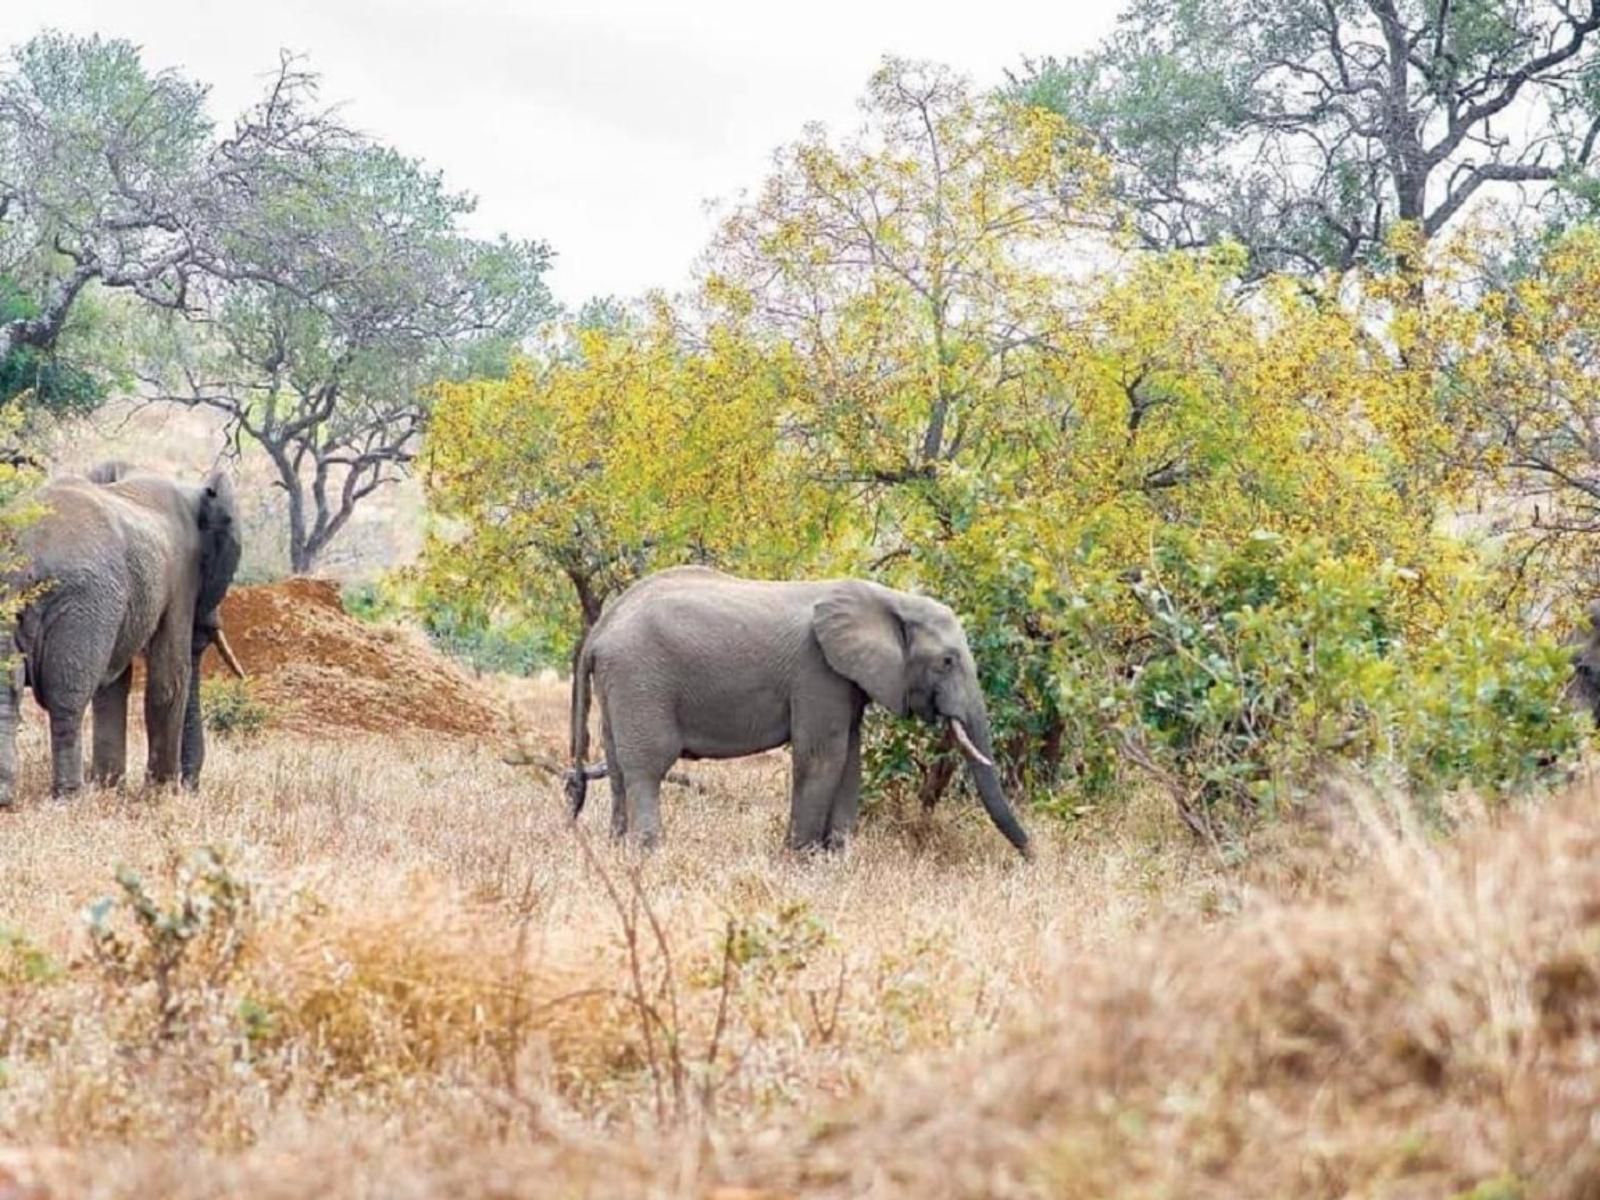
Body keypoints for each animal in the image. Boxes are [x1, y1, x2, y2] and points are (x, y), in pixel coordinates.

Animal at [0, 460, 243, 809]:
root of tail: (24, 551)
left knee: (9, 692)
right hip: (82, 601)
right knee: (67, 696)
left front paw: (110, 788)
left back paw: (6, 798)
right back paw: (69, 799)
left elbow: (114, 685)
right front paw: (160, 796)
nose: (190, 787)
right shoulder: (181, 577)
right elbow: (169, 680)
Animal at [569, 569, 1030, 857]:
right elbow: (823, 756)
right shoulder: (816, 670)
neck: (889, 597)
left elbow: (850, 759)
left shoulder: (845, 680)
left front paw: (836, 858)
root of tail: (600, 631)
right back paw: (649, 854)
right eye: (947, 661)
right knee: (647, 767)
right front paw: (800, 860)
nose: (1031, 855)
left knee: (618, 768)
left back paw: (618, 851)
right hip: (641, 678)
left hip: (619, 684)